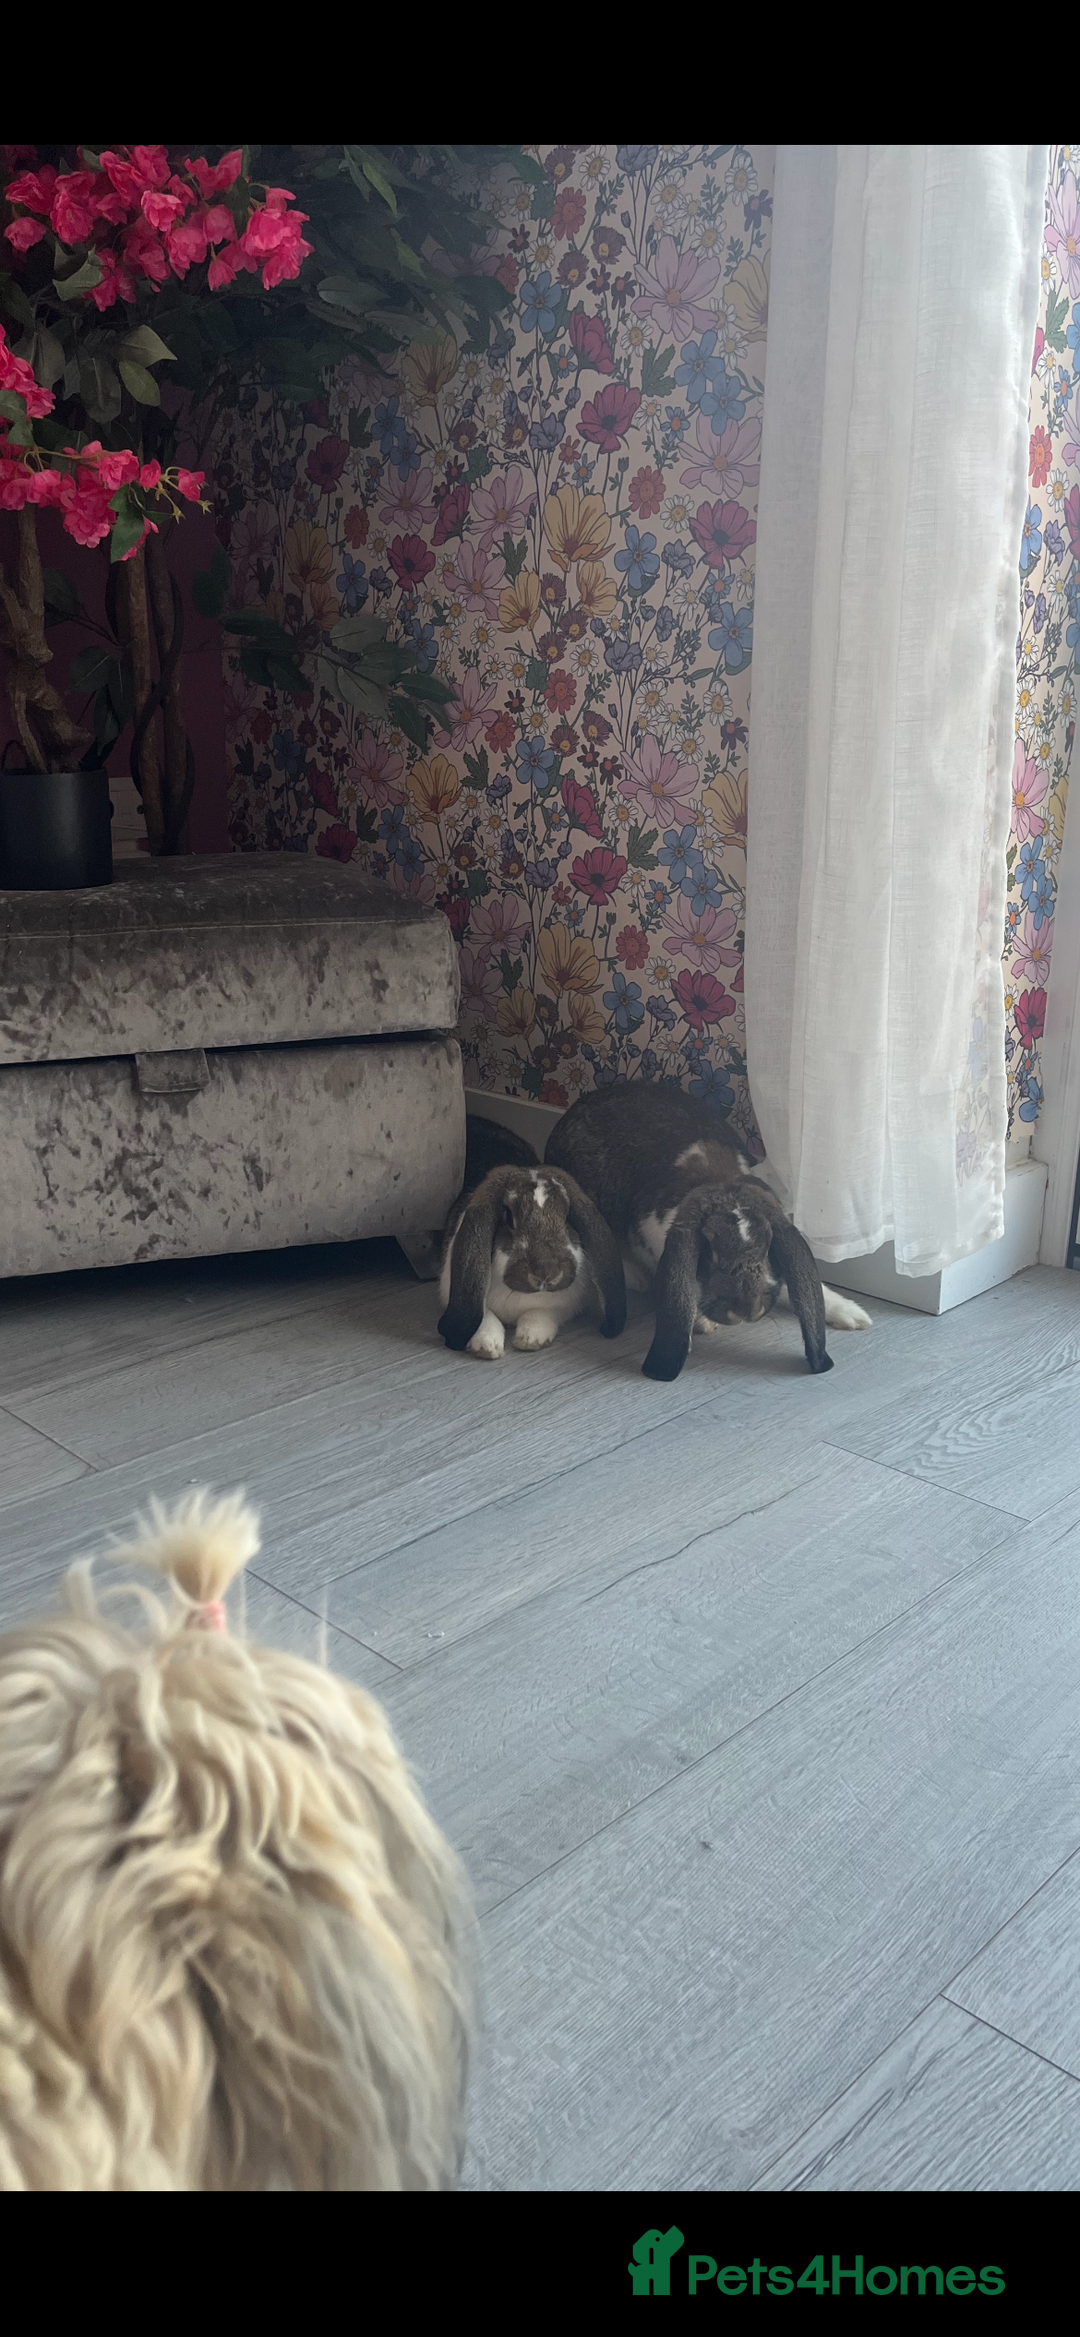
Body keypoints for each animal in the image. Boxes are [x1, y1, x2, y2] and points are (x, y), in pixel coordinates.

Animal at [437, 1156, 626, 1361]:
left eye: (567, 1216)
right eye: (508, 1216)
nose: (547, 1275)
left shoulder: (564, 1305)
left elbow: (540, 1314)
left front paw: (530, 1339)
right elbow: (484, 1316)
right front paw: (487, 1346)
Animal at [545, 1082, 871, 1381]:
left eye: (768, 1249)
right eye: (709, 1253)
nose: (747, 1311)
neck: (719, 1181)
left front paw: (853, 1315)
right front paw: (702, 1321)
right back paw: (636, 1278)